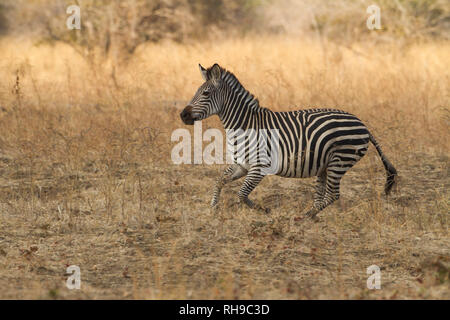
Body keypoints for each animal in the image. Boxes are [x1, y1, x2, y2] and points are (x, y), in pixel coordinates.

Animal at [180, 63, 398, 219]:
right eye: (197, 91)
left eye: (205, 93)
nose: (183, 115)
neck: (244, 125)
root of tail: (363, 124)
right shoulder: (241, 165)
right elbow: (219, 181)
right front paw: (213, 207)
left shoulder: (259, 168)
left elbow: (241, 194)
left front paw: (263, 210)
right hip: (325, 164)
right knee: (323, 194)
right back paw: (310, 216)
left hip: (340, 160)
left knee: (333, 194)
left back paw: (304, 217)